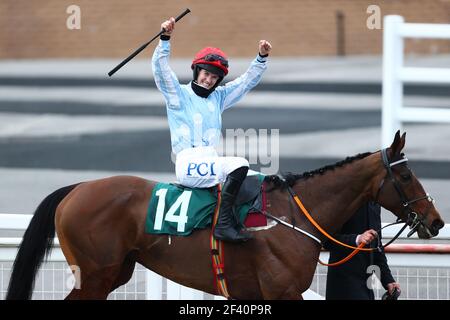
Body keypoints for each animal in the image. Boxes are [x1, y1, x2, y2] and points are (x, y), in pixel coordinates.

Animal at [5, 131, 444, 300]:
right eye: (406, 174)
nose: (437, 220)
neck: (293, 215)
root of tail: (75, 188)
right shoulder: (283, 291)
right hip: (95, 274)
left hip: (114, 272)